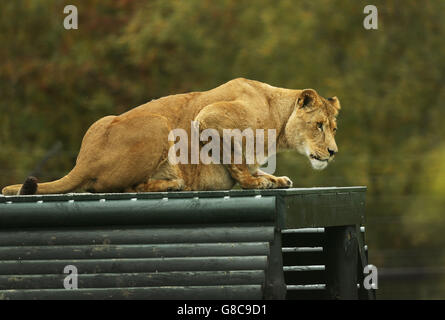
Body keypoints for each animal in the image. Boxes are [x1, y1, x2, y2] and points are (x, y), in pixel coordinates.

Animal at [0, 80, 340, 195]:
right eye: (319, 125)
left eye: (334, 128)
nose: (333, 152)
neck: (278, 119)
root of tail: (83, 160)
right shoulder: (209, 117)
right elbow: (237, 163)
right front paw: (256, 183)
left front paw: (275, 178)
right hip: (159, 123)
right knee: (119, 187)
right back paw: (173, 183)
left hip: (102, 122)